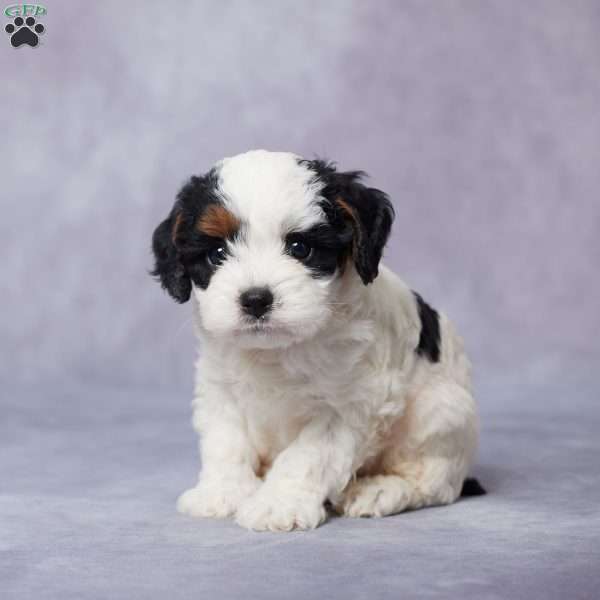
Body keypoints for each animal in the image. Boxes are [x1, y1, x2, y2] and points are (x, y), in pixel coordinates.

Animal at [152, 149, 486, 528]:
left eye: (300, 248)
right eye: (217, 254)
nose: (255, 299)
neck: (276, 351)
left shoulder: (348, 406)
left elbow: (307, 456)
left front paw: (278, 503)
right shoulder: (220, 391)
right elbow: (226, 442)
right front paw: (222, 492)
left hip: (440, 412)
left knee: (434, 483)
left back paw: (380, 489)